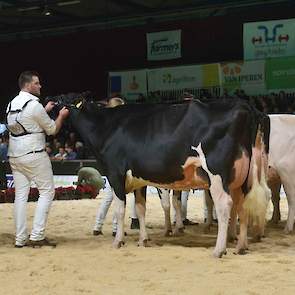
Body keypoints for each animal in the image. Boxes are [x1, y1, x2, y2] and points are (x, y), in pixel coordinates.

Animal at [55, 96, 270, 258]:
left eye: (56, 102)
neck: (104, 127)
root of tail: (245, 106)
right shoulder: (139, 178)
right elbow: (140, 208)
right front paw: (143, 240)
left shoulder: (115, 173)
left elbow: (120, 209)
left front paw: (118, 241)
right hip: (242, 177)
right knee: (242, 206)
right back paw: (241, 246)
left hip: (217, 174)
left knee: (225, 205)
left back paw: (219, 250)